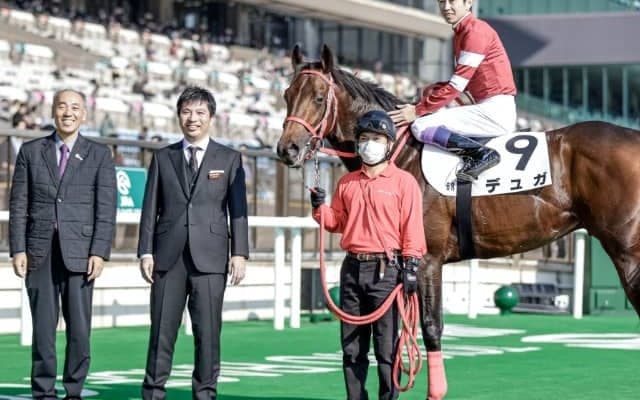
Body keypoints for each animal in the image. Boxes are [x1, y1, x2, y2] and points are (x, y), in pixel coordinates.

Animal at [276, 44, 640, 399]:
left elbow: (430, 328)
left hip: (628, 254)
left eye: (319, 97)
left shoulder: (426, 259)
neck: (399, 153)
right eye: (286, 94)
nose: (286, 149)